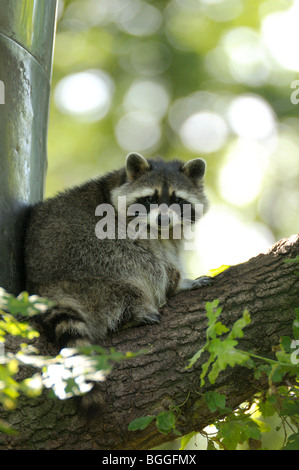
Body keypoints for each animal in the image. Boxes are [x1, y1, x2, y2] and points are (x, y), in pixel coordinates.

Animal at [24, 152, 212, 350]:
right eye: (150, 199)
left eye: (177, 200)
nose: (163, 219)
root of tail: (41, 284)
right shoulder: (132, 229)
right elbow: (159, 261)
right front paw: (179, 283)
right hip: (91, 261)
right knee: (136, 259)